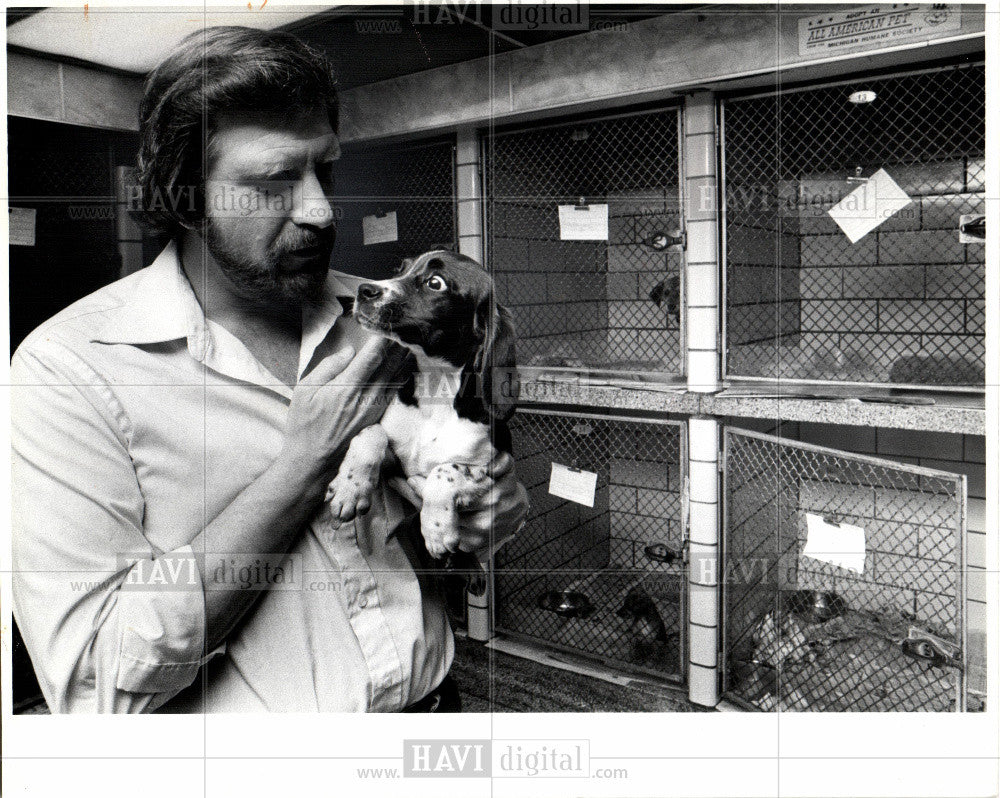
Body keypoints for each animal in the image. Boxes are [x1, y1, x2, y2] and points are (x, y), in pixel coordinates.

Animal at [326, 252, 520, 564]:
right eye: (400, 269)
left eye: (435, 283)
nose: (364, 290)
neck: (435, 390)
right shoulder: (395, 467)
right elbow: (371, 433)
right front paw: (350, 487)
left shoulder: (490, 469)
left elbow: (446, 470)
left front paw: (437, 528)